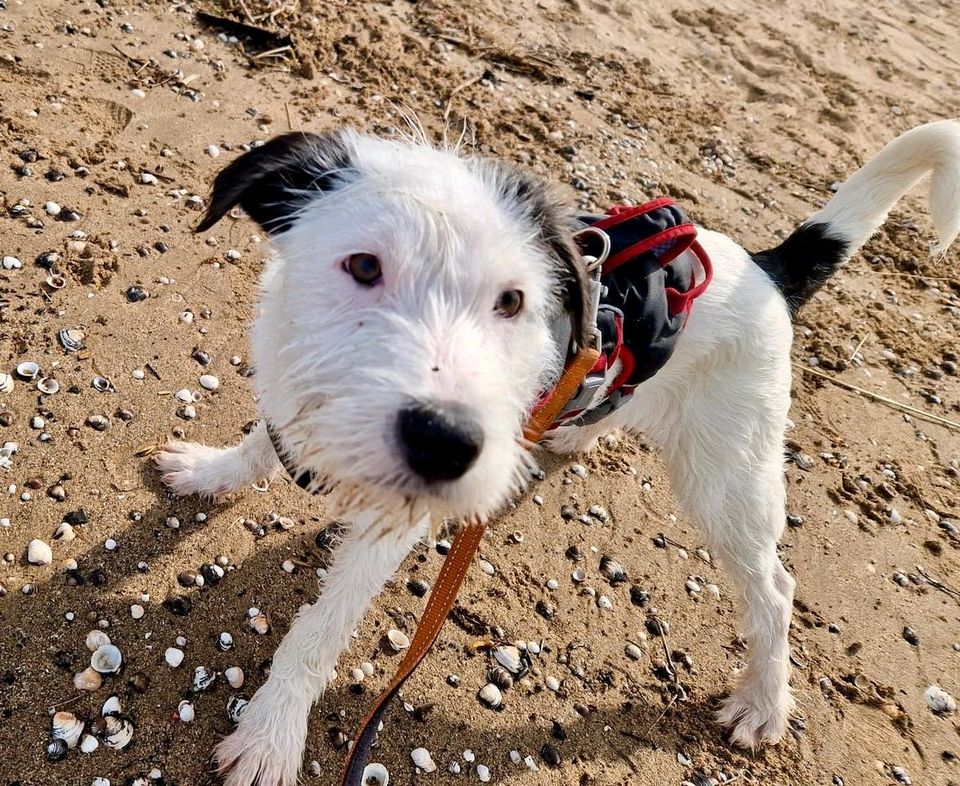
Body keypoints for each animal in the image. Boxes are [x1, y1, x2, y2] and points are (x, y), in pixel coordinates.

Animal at [158, 118, 960, 784]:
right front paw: (213, 470)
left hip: (728, 479)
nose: (451, 444)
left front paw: (271, 734)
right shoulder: (294, 395)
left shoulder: (393, 525)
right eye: (363, 266)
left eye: (512, 302)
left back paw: (764, 701)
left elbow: (320, 631)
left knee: (775, 590)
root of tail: (770, 269)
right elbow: (260, 444)